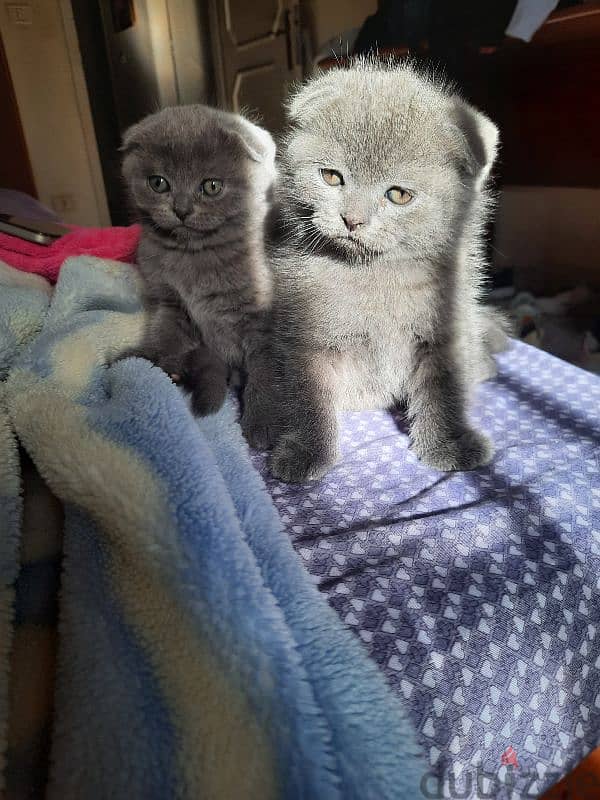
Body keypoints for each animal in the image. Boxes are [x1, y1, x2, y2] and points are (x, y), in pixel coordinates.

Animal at [241, 59, 508, 482]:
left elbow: (445, 386)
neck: (373, 276)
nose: (352, 219)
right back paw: (262, 420)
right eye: (331, 176)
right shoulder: (301, 335)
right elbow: (306, 395)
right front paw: (305, 452)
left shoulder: (447, 328)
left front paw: (449, 445)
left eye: (398, 195)